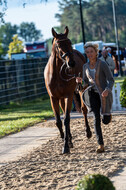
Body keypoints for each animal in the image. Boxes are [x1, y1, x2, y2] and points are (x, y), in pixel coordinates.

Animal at [44, 26, 91, 154]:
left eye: (69, 42)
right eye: (58, 45)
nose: (71, 63)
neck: (56, 74)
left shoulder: (68, 96)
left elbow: (66, 119)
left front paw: (65, 146)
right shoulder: (53, 98)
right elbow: (59, 121)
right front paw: (65, 139)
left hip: (81, 89)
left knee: (83, 110)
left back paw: (88, 132)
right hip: (61, 99)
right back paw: (69, 138)